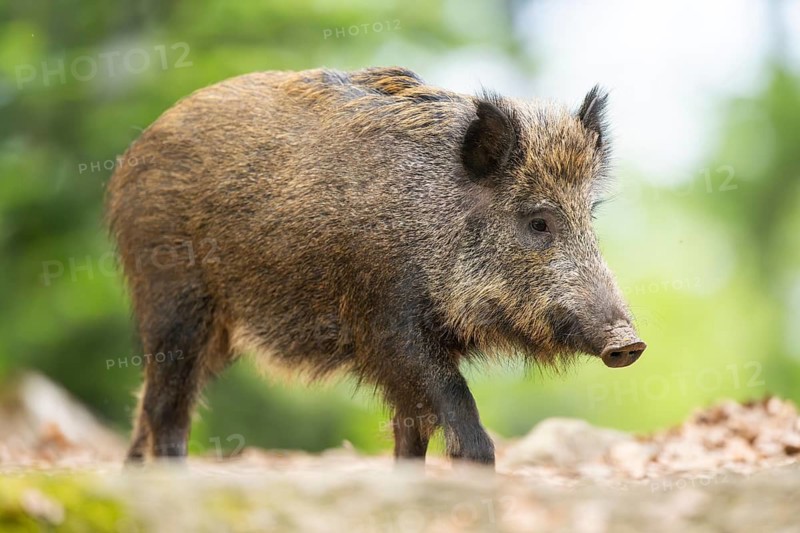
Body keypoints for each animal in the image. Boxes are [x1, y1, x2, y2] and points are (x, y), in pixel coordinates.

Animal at [105, 66, 646, 466]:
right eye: (538, 222)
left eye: (590, 215)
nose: (630, 343)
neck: (432, 224)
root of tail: (134, 153)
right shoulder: (391, 328)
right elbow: (465, 431)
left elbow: (412, 435)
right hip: (173, 300)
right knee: (167, 409)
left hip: (218, 328)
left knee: (151, 404)